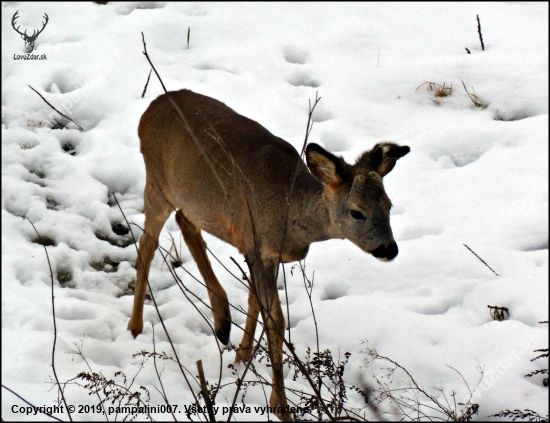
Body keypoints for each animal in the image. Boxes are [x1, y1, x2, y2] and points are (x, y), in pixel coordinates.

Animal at [126, 89, 410, 420]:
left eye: (389, 205)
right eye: (357, 212)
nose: (389, 249)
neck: (290, 212)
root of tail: (151, 107)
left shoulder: (264, 251)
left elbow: (255, 301)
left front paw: (241, 357)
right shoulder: (257, 244)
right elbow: (275, 319)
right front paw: (280, 407)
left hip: (194, 200)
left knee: (186, 222)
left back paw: (222, 320)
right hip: (157, 185)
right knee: (146, 247)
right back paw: (135, 327)